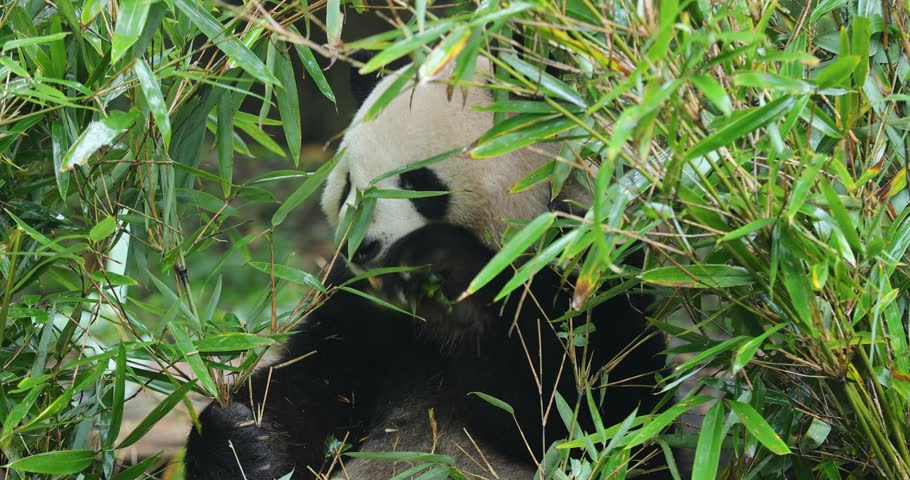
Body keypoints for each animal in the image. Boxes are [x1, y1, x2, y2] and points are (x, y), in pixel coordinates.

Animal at [183, 57, 667, 480]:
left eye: (418, 182)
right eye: (349, 187)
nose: (365, 247)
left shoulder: (593, 264)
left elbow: (580, 412)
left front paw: (444, 267)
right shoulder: (354, 301)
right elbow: (314, 385)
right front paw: (242, 442)